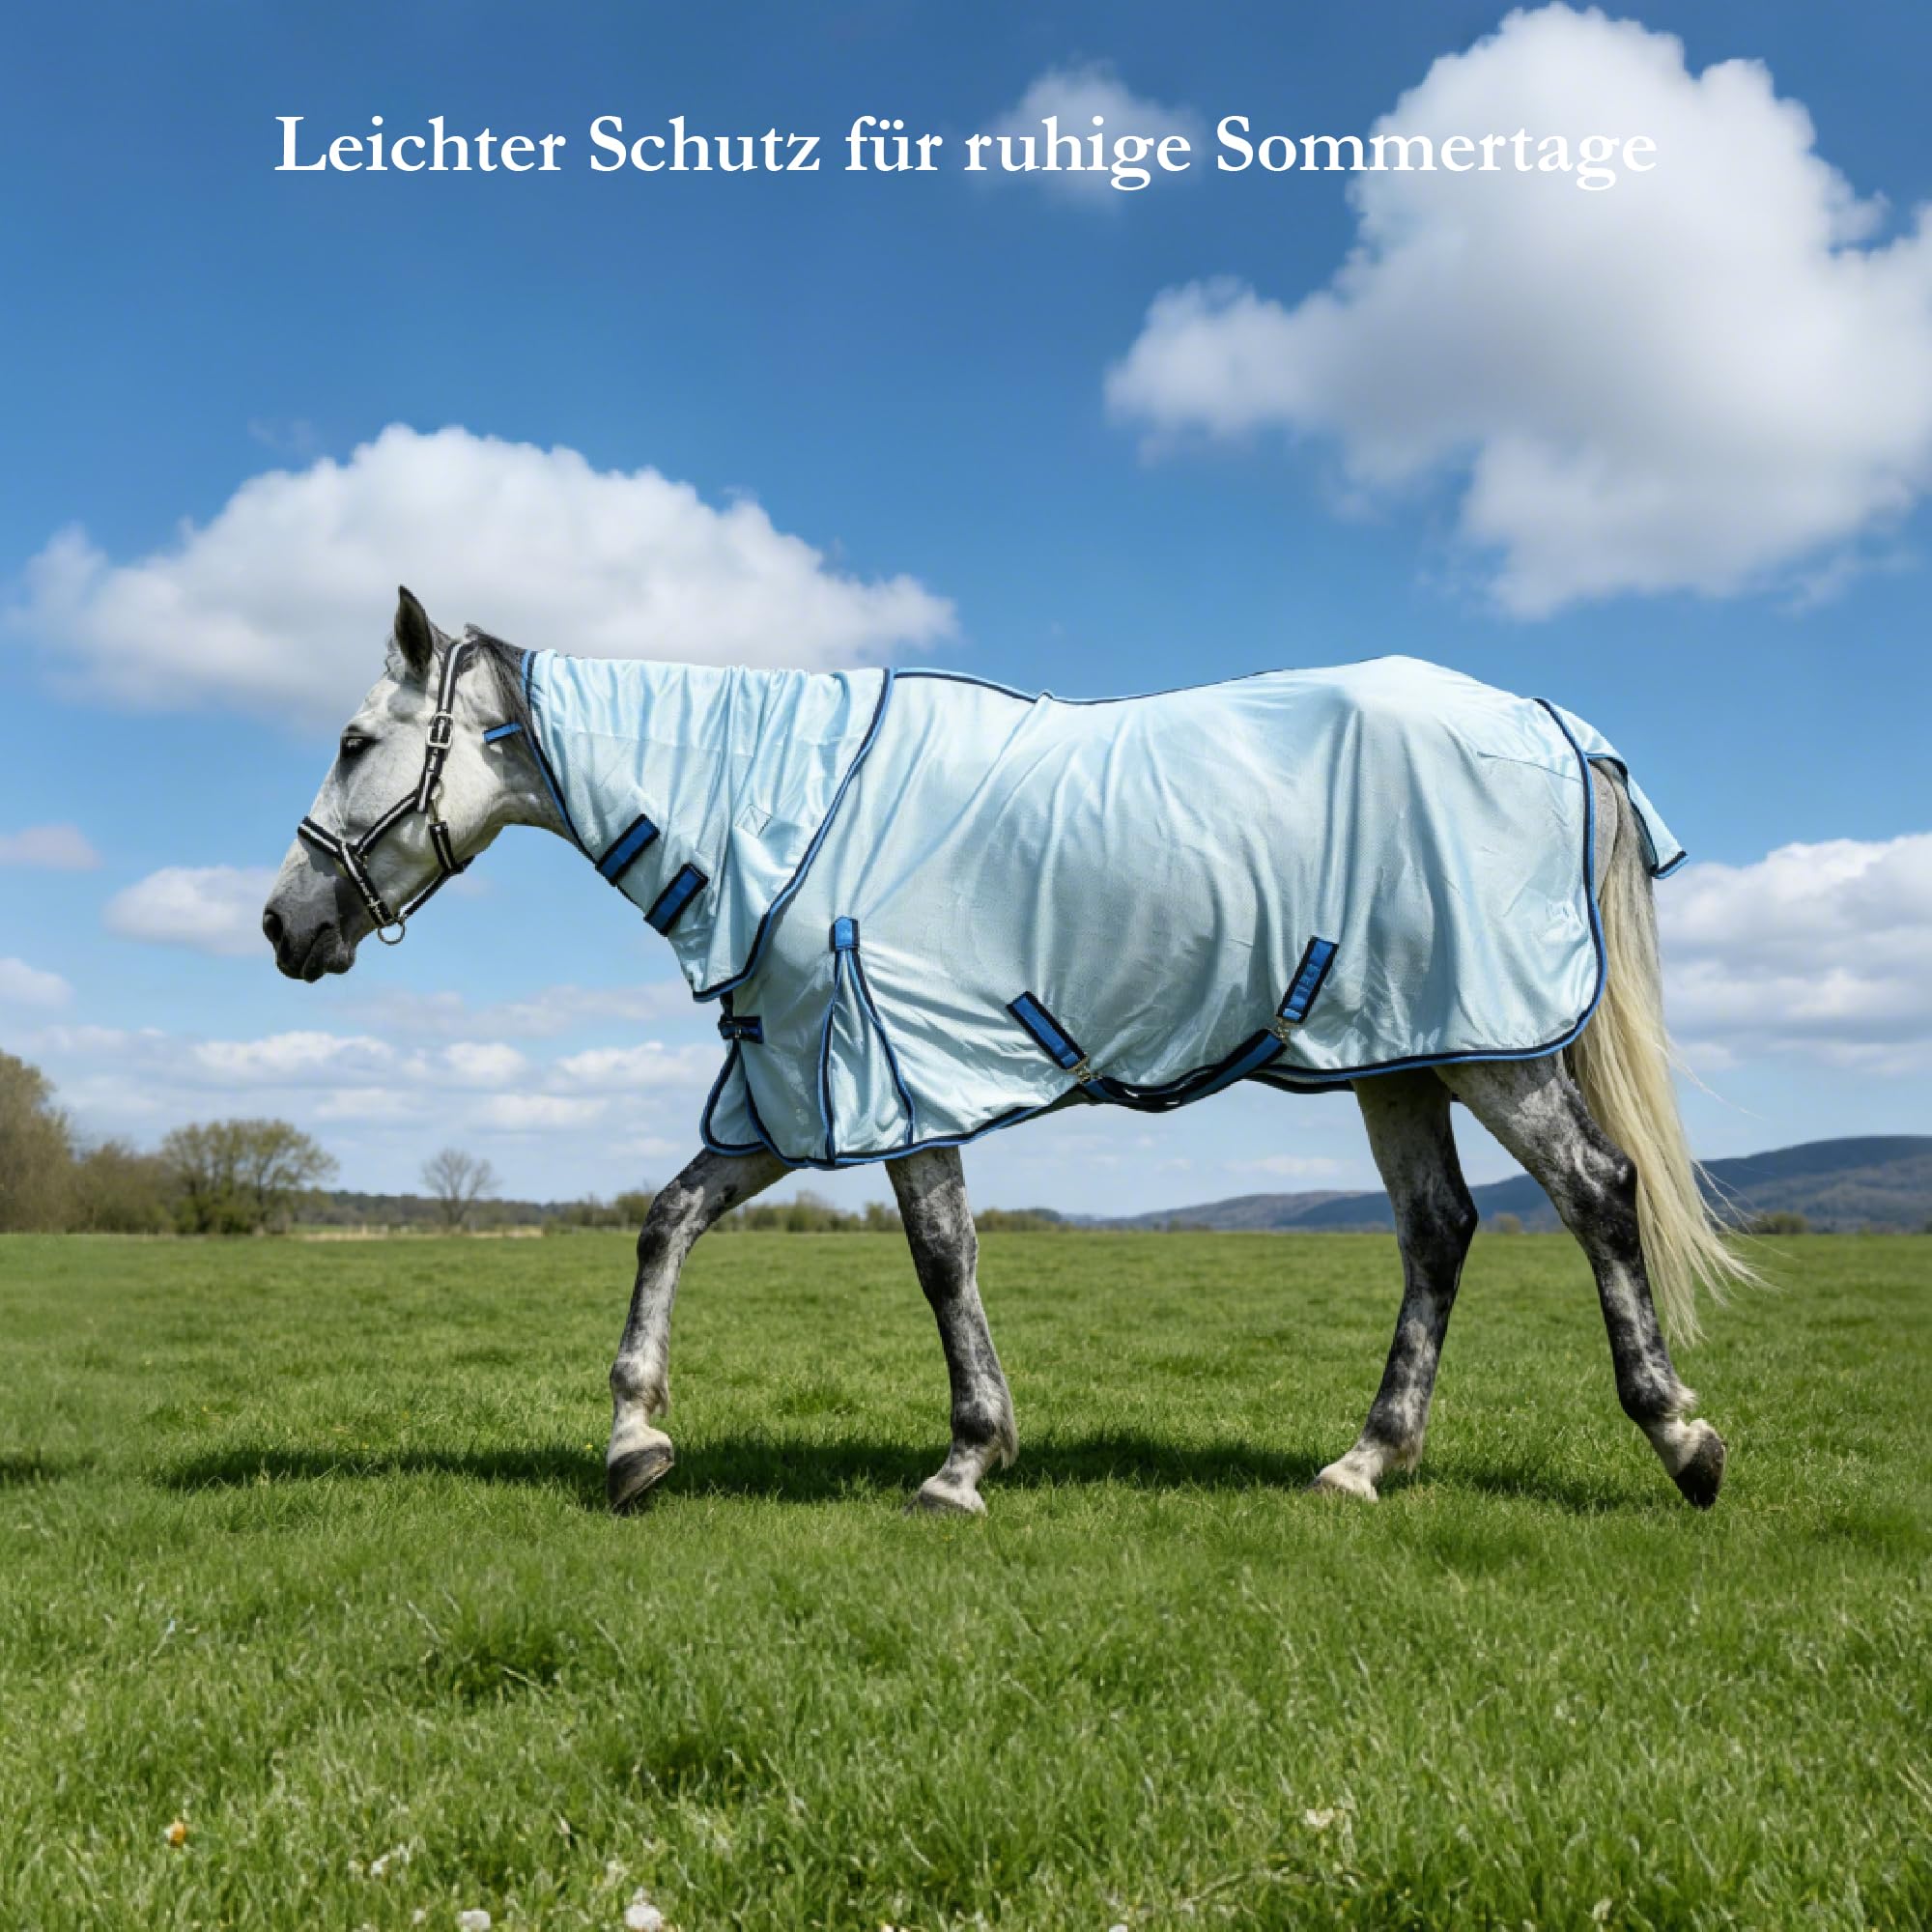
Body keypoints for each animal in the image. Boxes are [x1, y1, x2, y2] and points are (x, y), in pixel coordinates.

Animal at [263, 587, 1744, 1516]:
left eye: (351, 739)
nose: (285, 921)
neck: (781, 804)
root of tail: (1554, 724)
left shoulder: (888, 1079)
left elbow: (939, 1263)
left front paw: (966, 1461)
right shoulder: (787, 1089)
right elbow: (665, 1221)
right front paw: (635, 1440)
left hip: (1492, 1049)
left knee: (1595, 1194)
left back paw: (1682, 1439)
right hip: (1398, 1055)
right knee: (1437, 1230)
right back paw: (1364, 1463)